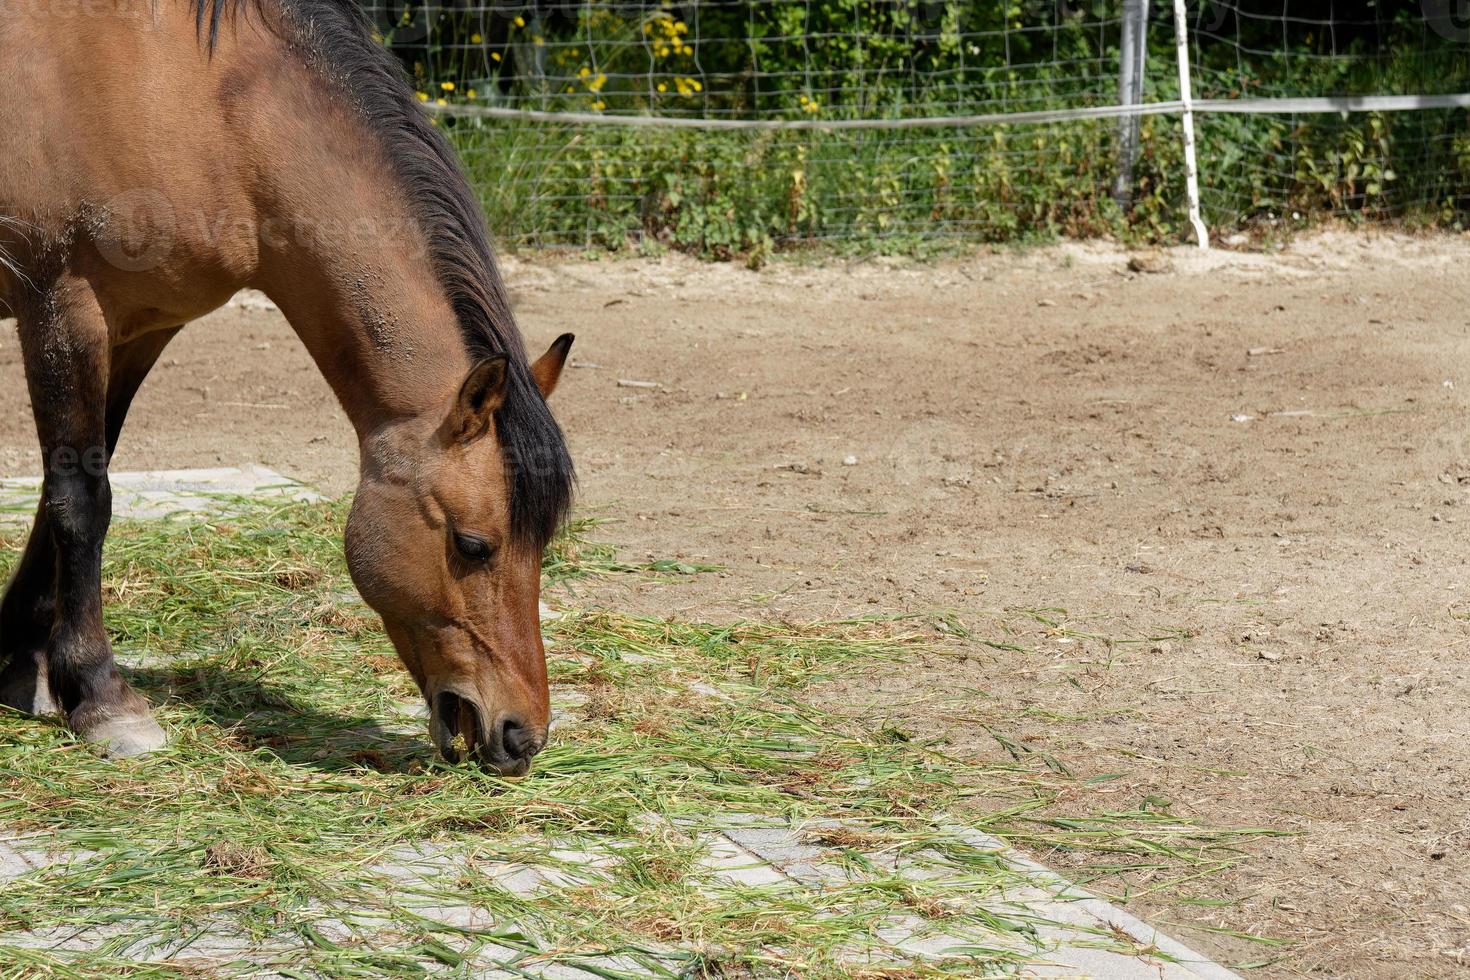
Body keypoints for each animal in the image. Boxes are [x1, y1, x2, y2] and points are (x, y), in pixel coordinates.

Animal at [0, 0, 573, 775]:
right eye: (474, 544)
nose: (522, 736)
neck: (201, 101)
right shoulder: (62, 305)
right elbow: (80, 501)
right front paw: (99, 697)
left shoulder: (142, 326)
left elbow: (71, 486)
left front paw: (22, 664)